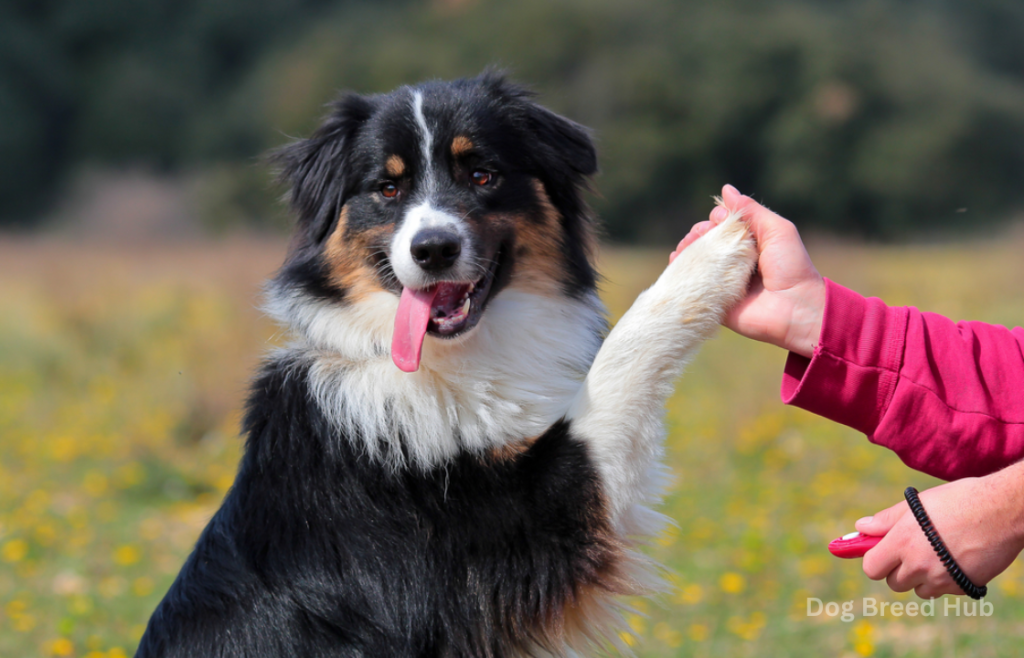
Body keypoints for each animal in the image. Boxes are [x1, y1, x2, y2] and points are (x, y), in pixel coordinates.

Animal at [136, 73, 757, 658]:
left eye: (481, 174)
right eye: (387, 188)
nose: (433, 249)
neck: (447, 359)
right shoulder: (528, 524)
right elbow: (623, 357)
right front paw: (719, 247)